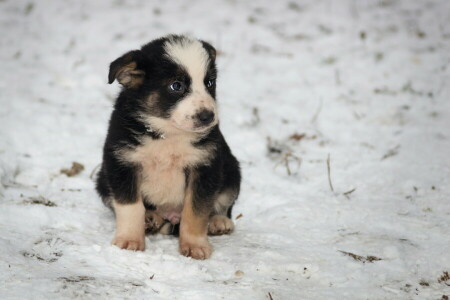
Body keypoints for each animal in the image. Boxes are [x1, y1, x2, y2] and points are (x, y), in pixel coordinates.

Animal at [96, 35, 241, 258]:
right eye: (176, 86)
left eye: (210, 82)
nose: (208, 116)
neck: (167, 133)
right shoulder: (121, 163)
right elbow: (130, 207)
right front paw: (130, 239)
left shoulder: (205, 166)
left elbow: (196, 211)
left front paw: (195, 245)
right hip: (102, 180)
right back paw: (150, 219)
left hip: (232, 172)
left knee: (223, 204)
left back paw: (218, 221)